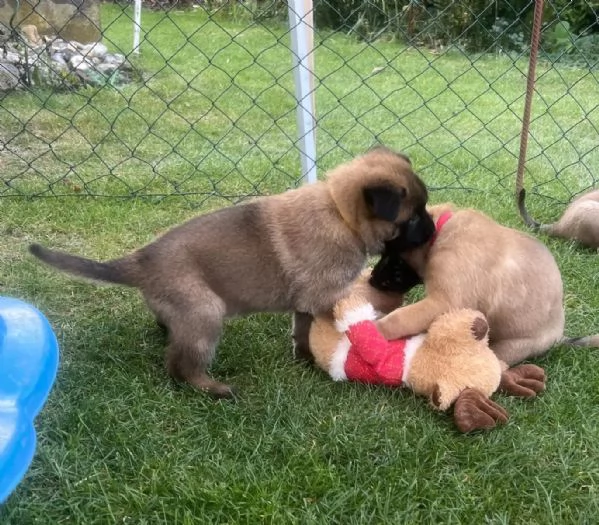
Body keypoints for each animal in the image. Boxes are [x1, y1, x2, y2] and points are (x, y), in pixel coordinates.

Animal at [28, 147, 434, 398]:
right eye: (413, 218)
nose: (433, 230)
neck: (341, 214)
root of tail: (142, 259)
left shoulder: (305, 303)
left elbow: (302, 332)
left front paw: (305, 358)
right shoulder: (324, 297)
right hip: (206, 313)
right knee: (179, 366)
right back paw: (213, 389)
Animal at [370, 203, 599, 366]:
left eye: (392, 257)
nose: (371, 279)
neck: (441, 232)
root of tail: (560, 335)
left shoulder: (443, 302)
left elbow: (400, 318)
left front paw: (374, 330)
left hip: (514, 345)